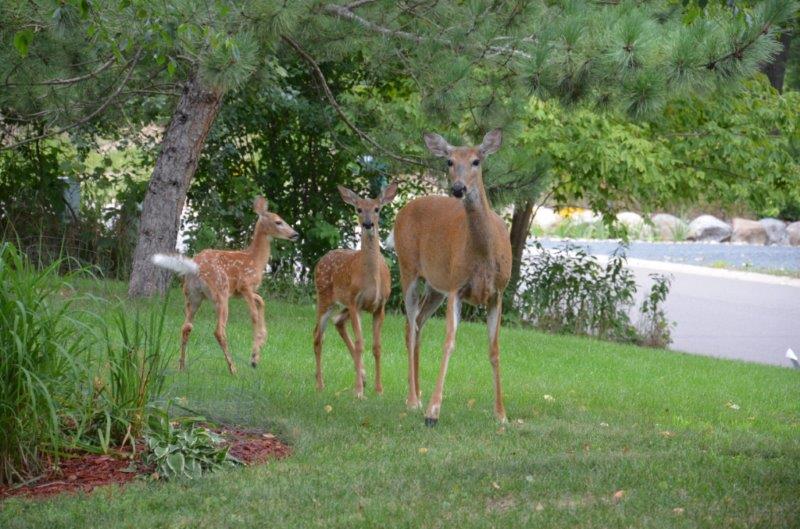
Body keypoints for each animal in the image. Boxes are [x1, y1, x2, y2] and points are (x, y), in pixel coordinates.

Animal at [152, 196, 298, 374]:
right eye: (278, 222)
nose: (295, 234)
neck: (255, 260)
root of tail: (195, 267)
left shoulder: (239, 292)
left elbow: (261, 301)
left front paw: (262, 341)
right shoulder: (245, 285)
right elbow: (254, 315)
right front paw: (254, 357)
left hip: (192, 296)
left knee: (186, 326)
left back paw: (182, 366)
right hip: (220, 293)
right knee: (219, 331)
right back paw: (233, 368)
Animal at [314, 182, 398, 396]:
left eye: (376, 209)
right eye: (358, 209)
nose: (368, 224)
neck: (372, 280)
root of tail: (322, 259)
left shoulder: (380, 306)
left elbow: (377, 347)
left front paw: (378, 389)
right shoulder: (355, 302)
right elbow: (361, 344)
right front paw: (358, 391)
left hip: (343, 305)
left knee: (337, 322)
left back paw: (363, 375)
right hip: (325, 297)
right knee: (318, 335)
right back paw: (320, 384)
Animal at [394, 129, 512, 424]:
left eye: (476, 161)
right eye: (449, 161)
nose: (458, 189)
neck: (483, 255)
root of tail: (404, 208)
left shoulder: (498, 293)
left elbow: (494, 350)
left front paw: (501, 414)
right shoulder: (457, 287)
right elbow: (448, 342)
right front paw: (433, 412)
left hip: (436, 286)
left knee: (418, 323)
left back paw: (418, 392)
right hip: (408, 267)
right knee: (410, 326)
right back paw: (413, 400)